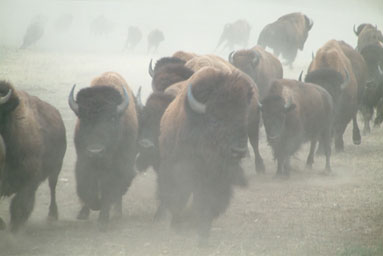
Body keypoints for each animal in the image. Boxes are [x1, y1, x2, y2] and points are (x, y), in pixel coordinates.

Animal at [0, 80, 67, 232]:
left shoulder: (29, 179)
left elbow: (19, 204)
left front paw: (14, 229)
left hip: (56, 168)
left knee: (52, 187)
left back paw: (52, 216)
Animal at [68, 71, 139, 230]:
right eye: (83, 119)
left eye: (111, 119)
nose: (96, 151)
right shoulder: (83, 161)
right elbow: (87, 187)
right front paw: (92, 208)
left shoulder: (119, 167)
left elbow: (109, 188)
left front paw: (103, 218)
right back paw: (84, 213)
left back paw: (117, 212)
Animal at [158, 67, 256, 243]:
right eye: (215, 120)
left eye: (243, 117)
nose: (238, 150)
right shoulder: (181, 170)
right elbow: (179, 195)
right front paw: (178, 224)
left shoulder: (218, 179)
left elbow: (209, 200)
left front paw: (203, 230)